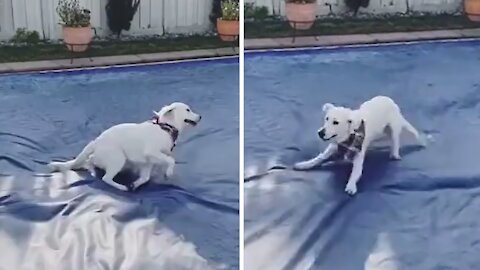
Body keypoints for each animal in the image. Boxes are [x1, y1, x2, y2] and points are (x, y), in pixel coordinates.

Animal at [47, 102, 201, 192]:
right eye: (188, 110)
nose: (200, 116)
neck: (166, 128)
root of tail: (96, 142)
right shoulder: (152, 152)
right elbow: (170, 160)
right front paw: (168, 172)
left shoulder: (148, 162)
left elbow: (145, 177)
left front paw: (136, 184)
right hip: (118, 159)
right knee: (106, 178)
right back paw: (120, 187)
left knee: (90, 161)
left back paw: (92, 169)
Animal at [292, 96, 424, 195]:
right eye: (326, 119)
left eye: (336, 122)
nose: (320, 132)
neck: (346, 138)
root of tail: (389, 100)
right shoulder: (334, 146)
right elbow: (319, 158)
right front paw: (305, 164)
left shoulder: (358, 152)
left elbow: (356, 172)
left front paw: (351, 185)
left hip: (393, 127)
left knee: (395, 140)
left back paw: (394, 153)